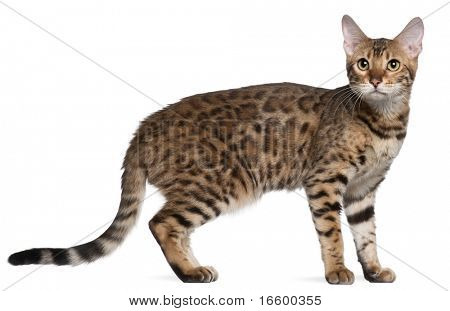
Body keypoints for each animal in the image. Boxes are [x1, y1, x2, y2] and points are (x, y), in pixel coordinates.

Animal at [7, 15, 424, 286]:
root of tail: (143, 128)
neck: (383, 122)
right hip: (221, 183)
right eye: (362, 63)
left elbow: (366, 234)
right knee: (161, 223)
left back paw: (194, 267)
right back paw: (189, 272)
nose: (375, 80)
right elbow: (332, 233)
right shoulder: (325, 180)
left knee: (171, 226)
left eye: (392, 64)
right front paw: (336, 271)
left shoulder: (363, 189)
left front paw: (374, 270)